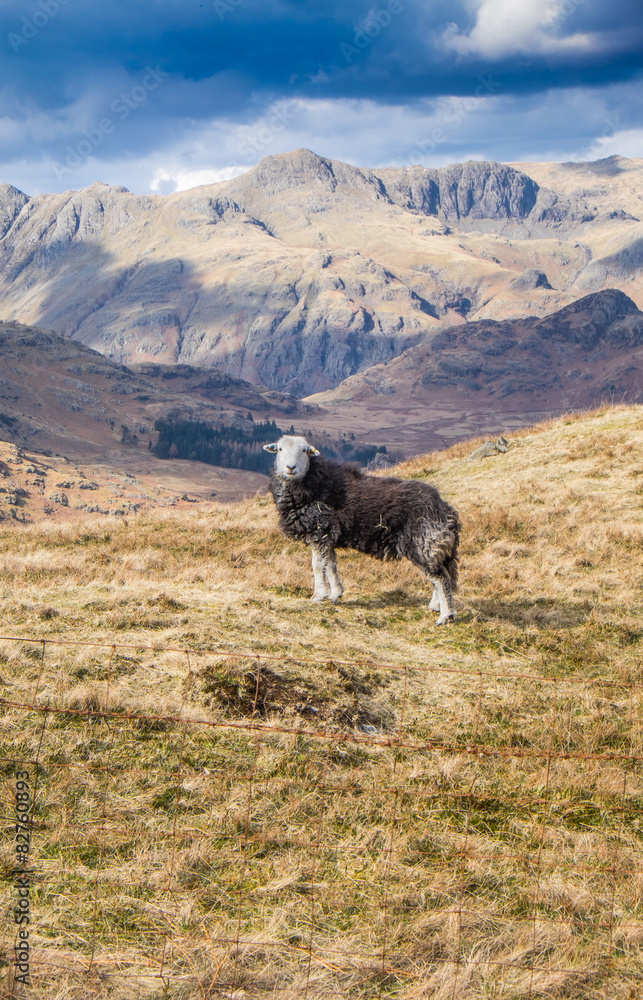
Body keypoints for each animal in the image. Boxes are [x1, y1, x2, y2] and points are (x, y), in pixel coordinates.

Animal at [263, 435, 461, 624]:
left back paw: (445, 615)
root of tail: (445, 509)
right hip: (435, 545)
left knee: (441, 577)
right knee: (443, 573)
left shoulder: (320, 531)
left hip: (424, 541)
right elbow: (331, 565)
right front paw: (336, 593)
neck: (314, 483)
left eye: (305, 450)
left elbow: (318, 565)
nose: (290, 468)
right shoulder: (329, 535)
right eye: (280, 449)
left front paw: (318, 595)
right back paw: (436, 606)